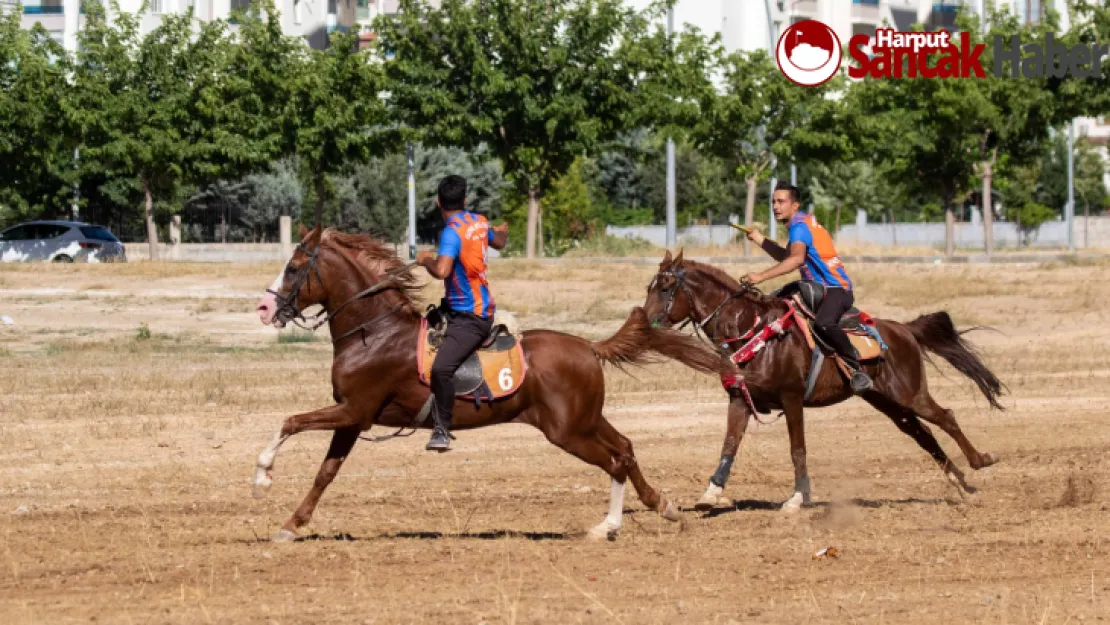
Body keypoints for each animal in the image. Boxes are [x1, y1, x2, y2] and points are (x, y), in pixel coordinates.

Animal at [253, 227, 723, 539]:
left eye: (293, 268)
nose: (264, 308)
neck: (375, 331)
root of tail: (588, 346)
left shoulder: (353, 410)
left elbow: (290, 421)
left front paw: (262, 474)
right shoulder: (353, 418)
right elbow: (325, 473)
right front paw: (292, 524)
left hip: (567, 431)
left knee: (615, 461)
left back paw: (607, 525)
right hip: (584, 420)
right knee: (625, 448)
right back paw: (662, 508)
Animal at [643, 250, 1007, 512]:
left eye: (665, 288)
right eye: (650, 288)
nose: (643, 322)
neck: (753, 328)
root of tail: (904, 329)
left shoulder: (791, 398)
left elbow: (798, 449)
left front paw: (797, 498)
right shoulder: (739, 399)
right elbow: (729, 445)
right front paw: (711, 492)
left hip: (910, 393)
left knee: (946, 417)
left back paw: (980, 462)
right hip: (886, 401)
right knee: (921, 433)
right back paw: (960, 482)